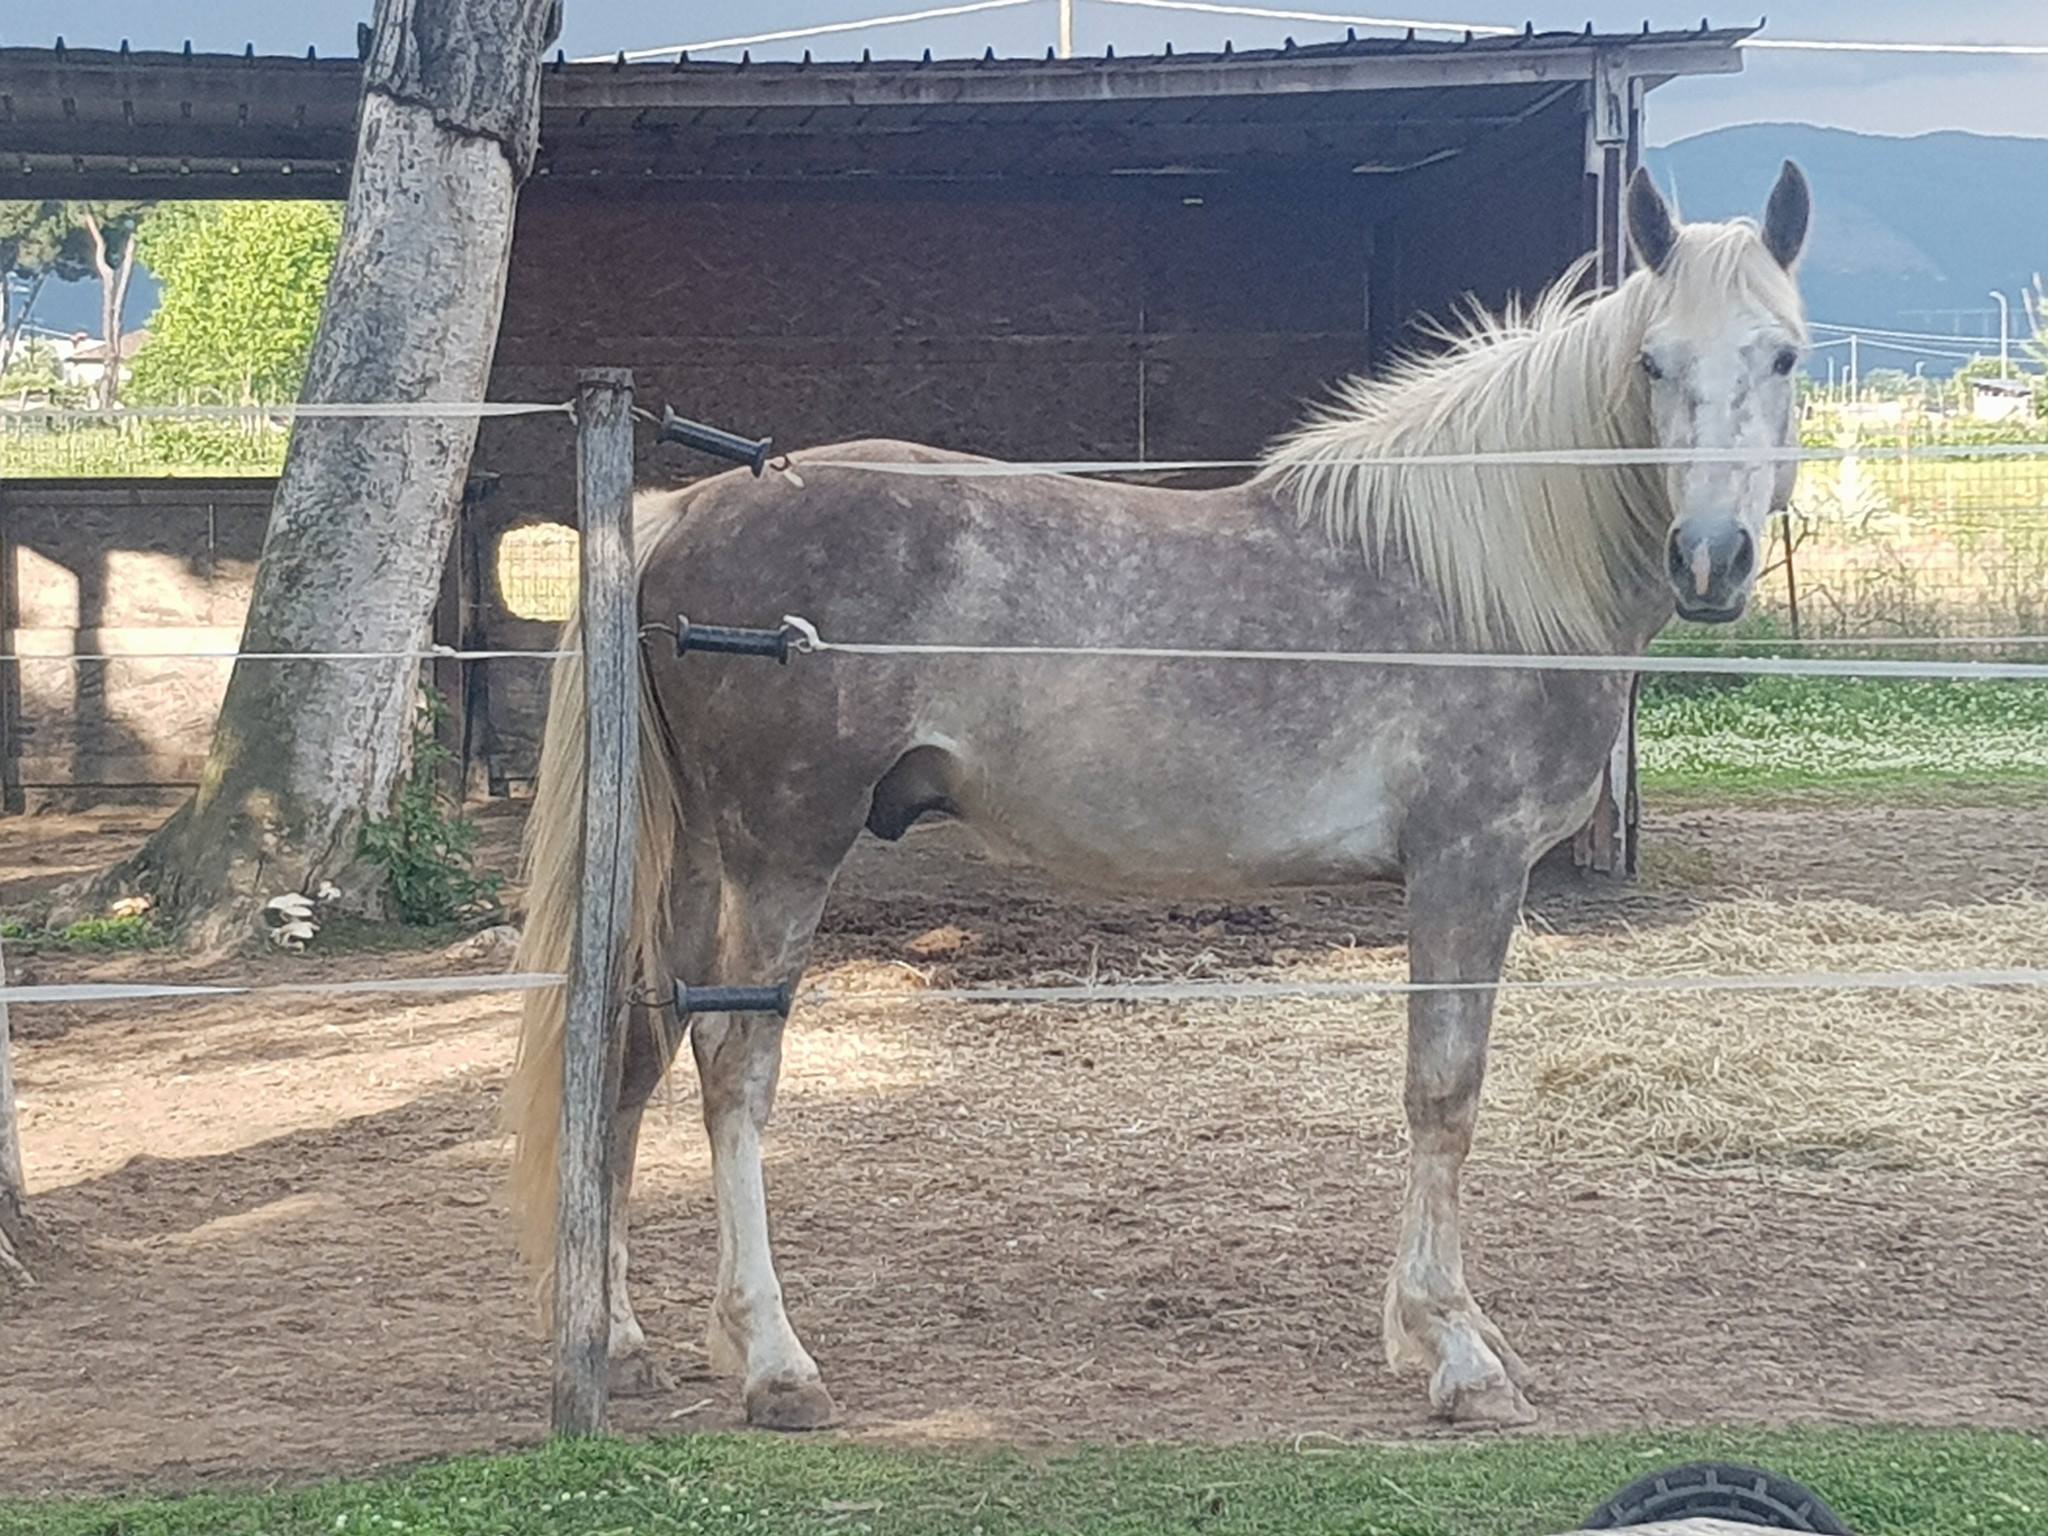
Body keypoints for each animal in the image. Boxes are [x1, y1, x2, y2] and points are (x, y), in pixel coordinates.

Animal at [507, 165, 1810, 1433]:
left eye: (1783, 355)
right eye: (1650, 363)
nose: (1710, 559)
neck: (1480, 582)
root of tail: (676, 516)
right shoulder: (1467, 867)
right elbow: (1442, 1095)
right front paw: (1453, 1349)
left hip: (692, 861)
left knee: (634, 1047)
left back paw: (620, 1344)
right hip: (781, 851)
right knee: (733, 1066)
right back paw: (775, 1365)